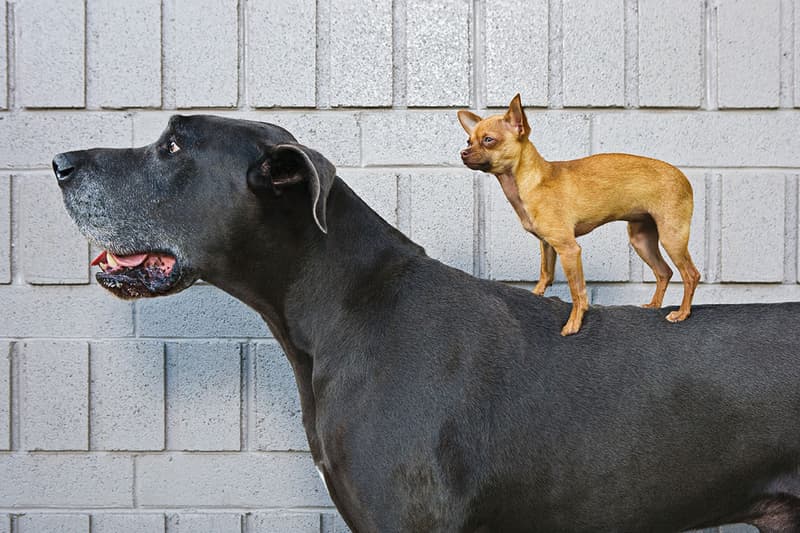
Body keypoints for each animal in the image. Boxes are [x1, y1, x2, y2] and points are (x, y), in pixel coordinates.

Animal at [460, 94, 696, 336]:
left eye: (489, 140)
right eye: (469, 141)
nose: (463, 153)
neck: (531, 181)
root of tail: (683, 176)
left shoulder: (569, 249)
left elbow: (577, 291)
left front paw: (574, 323)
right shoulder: (548, 245)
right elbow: (546, 274)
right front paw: (536, 295)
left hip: (671, 237)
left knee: (690, 274)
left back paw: (682, 313)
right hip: (642, 240)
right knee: (664, 272)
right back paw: (654, 305)